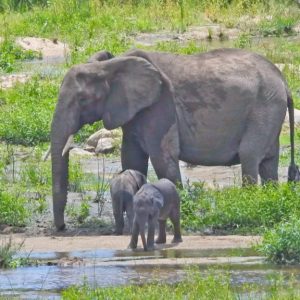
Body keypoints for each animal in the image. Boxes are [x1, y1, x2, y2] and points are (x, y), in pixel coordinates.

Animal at [50, 48, 298, 230]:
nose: (61, 228)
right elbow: (131, 159)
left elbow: (163, 157)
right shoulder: (133, 111)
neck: (111, 65)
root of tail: (283, 81)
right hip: (270, 110)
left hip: (264, 107)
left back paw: (250, 203)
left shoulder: (162, 105)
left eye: (82, 100)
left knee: (249, 156)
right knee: (268, 163)